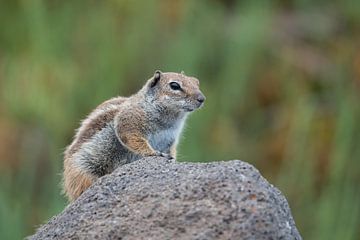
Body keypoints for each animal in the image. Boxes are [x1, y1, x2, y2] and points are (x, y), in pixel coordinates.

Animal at [62, 70, 205, 202]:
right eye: (174, 85)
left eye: (196, 81)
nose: (202, 99)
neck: (170, 120)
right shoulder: (129, 121)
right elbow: (133, 139)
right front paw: (154, 153)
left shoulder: (170, 140)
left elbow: (171, 151)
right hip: (83, 168)